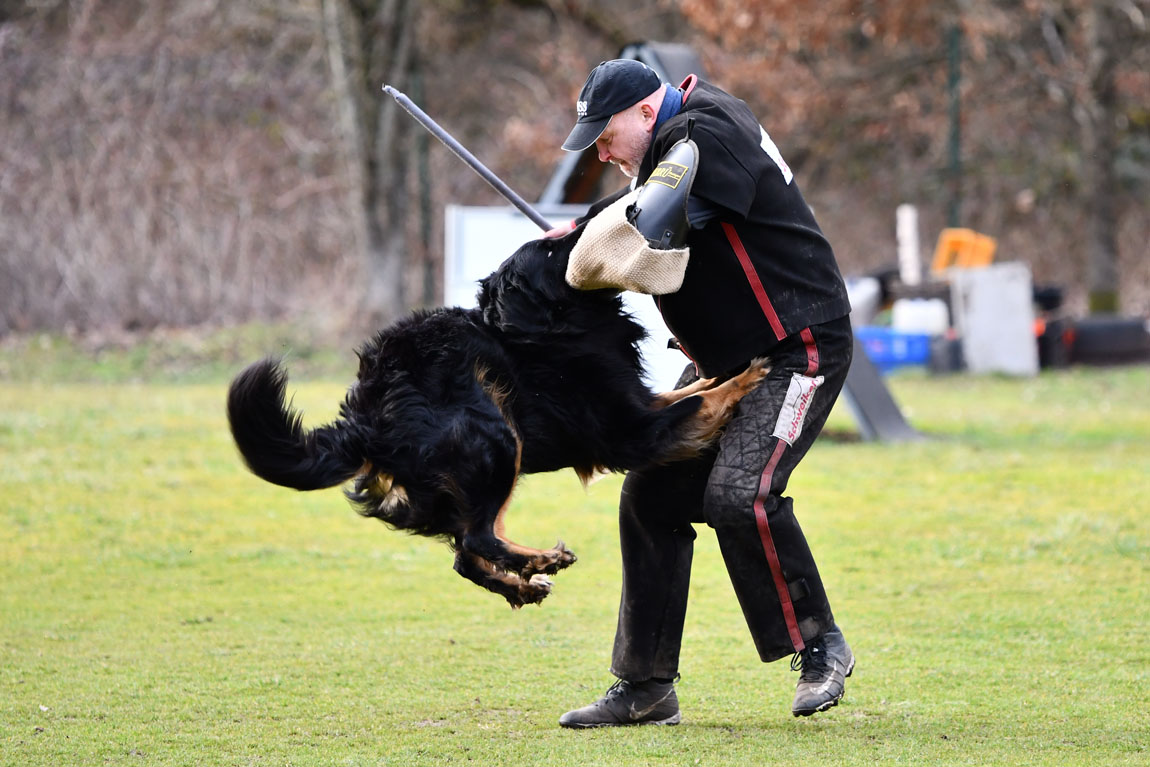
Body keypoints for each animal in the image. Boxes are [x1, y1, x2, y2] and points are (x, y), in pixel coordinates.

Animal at [225, 225, 768, 607]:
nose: (594, 219)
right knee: (476, 536)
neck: (555, 327)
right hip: (494, 440)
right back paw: (541, 560)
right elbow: (701, 401)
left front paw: (725, 375)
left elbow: (694, 391)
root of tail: (365, 411)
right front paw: (750, 373)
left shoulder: (641, 405)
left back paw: (523, 584)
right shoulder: (630, 432)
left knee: (467, 555)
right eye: (550, 252)